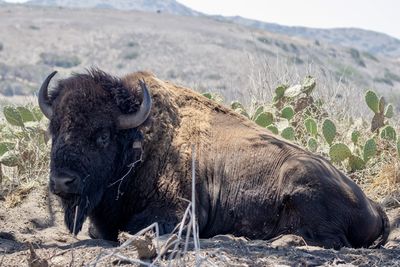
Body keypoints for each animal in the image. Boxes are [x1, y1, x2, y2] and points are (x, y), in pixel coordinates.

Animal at [37, 70, 388, 250]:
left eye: (102, 135)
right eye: (55, 128)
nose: (62, 182)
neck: (140, 138)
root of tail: (373, 203)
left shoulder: (179, 212)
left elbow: (137, 227)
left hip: (301, 180)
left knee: (330, 240)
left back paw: (278, 241)